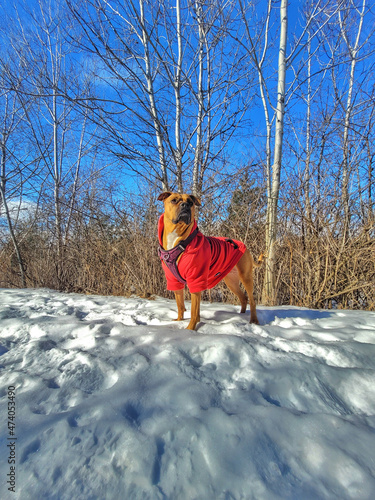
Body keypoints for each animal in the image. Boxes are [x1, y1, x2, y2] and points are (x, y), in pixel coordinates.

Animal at [159, 193, 264, 330]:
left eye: (190, 202)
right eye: (174, 200)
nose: (185, 205)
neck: (178, 240)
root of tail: (244, 247)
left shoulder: (196, 279)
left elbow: (194, 311)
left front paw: (190, 329)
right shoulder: (173, 280)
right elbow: (180, 305)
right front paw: (178, 321)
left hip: (246, 277)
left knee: (252, 300)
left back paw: (254, 320)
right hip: (231, 281)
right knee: (243, 297)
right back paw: (241, 315)